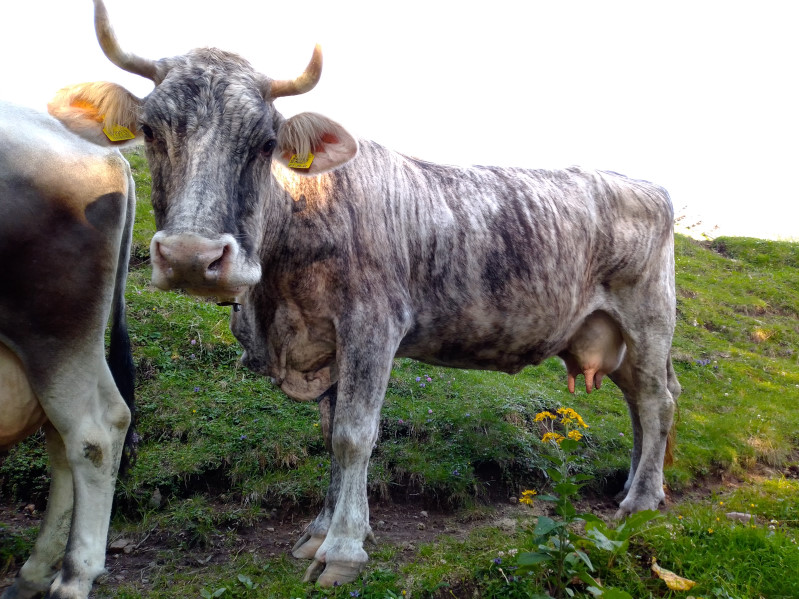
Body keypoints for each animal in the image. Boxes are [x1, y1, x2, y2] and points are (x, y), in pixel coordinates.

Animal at [67, 0, 680, 592]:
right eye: (150, 130)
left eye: (265, 144)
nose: (192, 256)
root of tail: (645, 184)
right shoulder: (327, 345)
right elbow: (328, 434)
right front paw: (319, 531)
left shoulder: (371, 328)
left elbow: (353, 436)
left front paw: (342, 549)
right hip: (613, 337)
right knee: (641, 405)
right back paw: (635, 487)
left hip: (648, 319)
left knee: (658, 402)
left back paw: (640, 502)